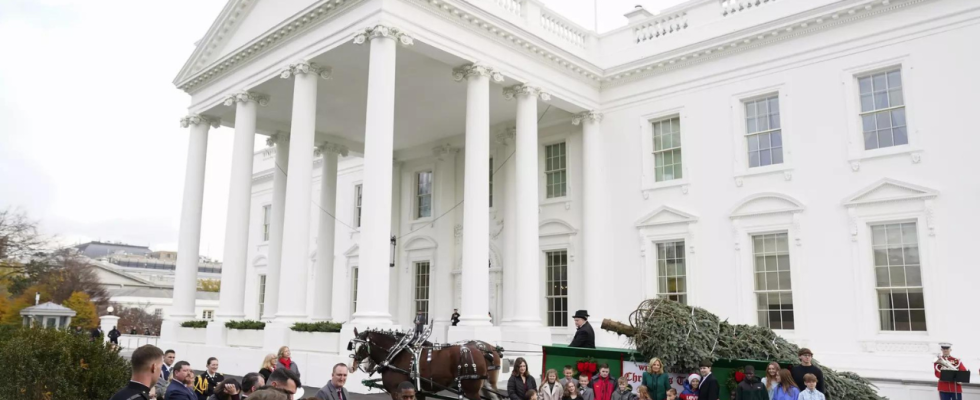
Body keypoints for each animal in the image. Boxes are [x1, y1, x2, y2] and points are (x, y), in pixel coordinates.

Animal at [350, 328, 498, 400]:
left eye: (362, 347)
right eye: (352, 345)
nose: (352, 366)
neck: (396, 353)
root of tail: (481, 351)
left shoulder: (396, 390)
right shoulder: (419, 392)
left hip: (471, 390)